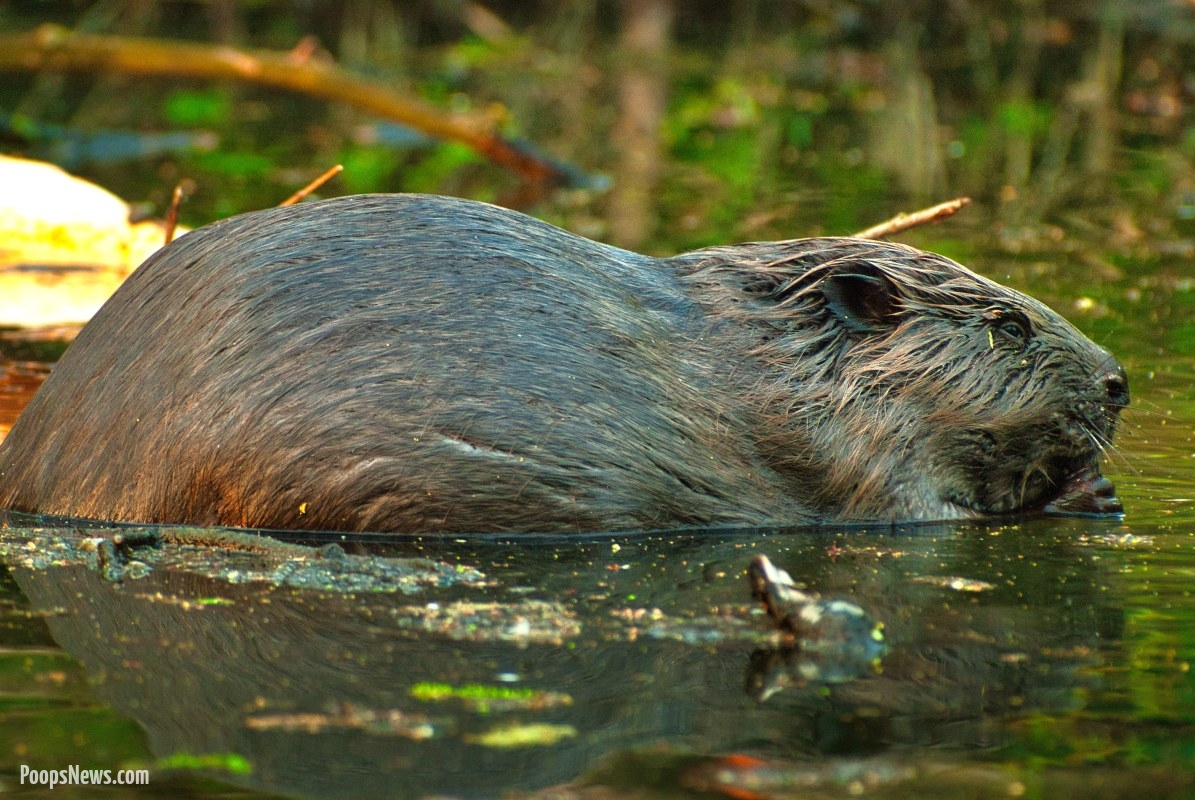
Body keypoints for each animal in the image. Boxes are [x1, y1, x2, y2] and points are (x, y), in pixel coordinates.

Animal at [0, 192, 1128, 530]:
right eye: (1009, 326)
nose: (1119, 381)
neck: (756, 362)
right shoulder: (839, 453)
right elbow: (917, 515)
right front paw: (1084, 491)